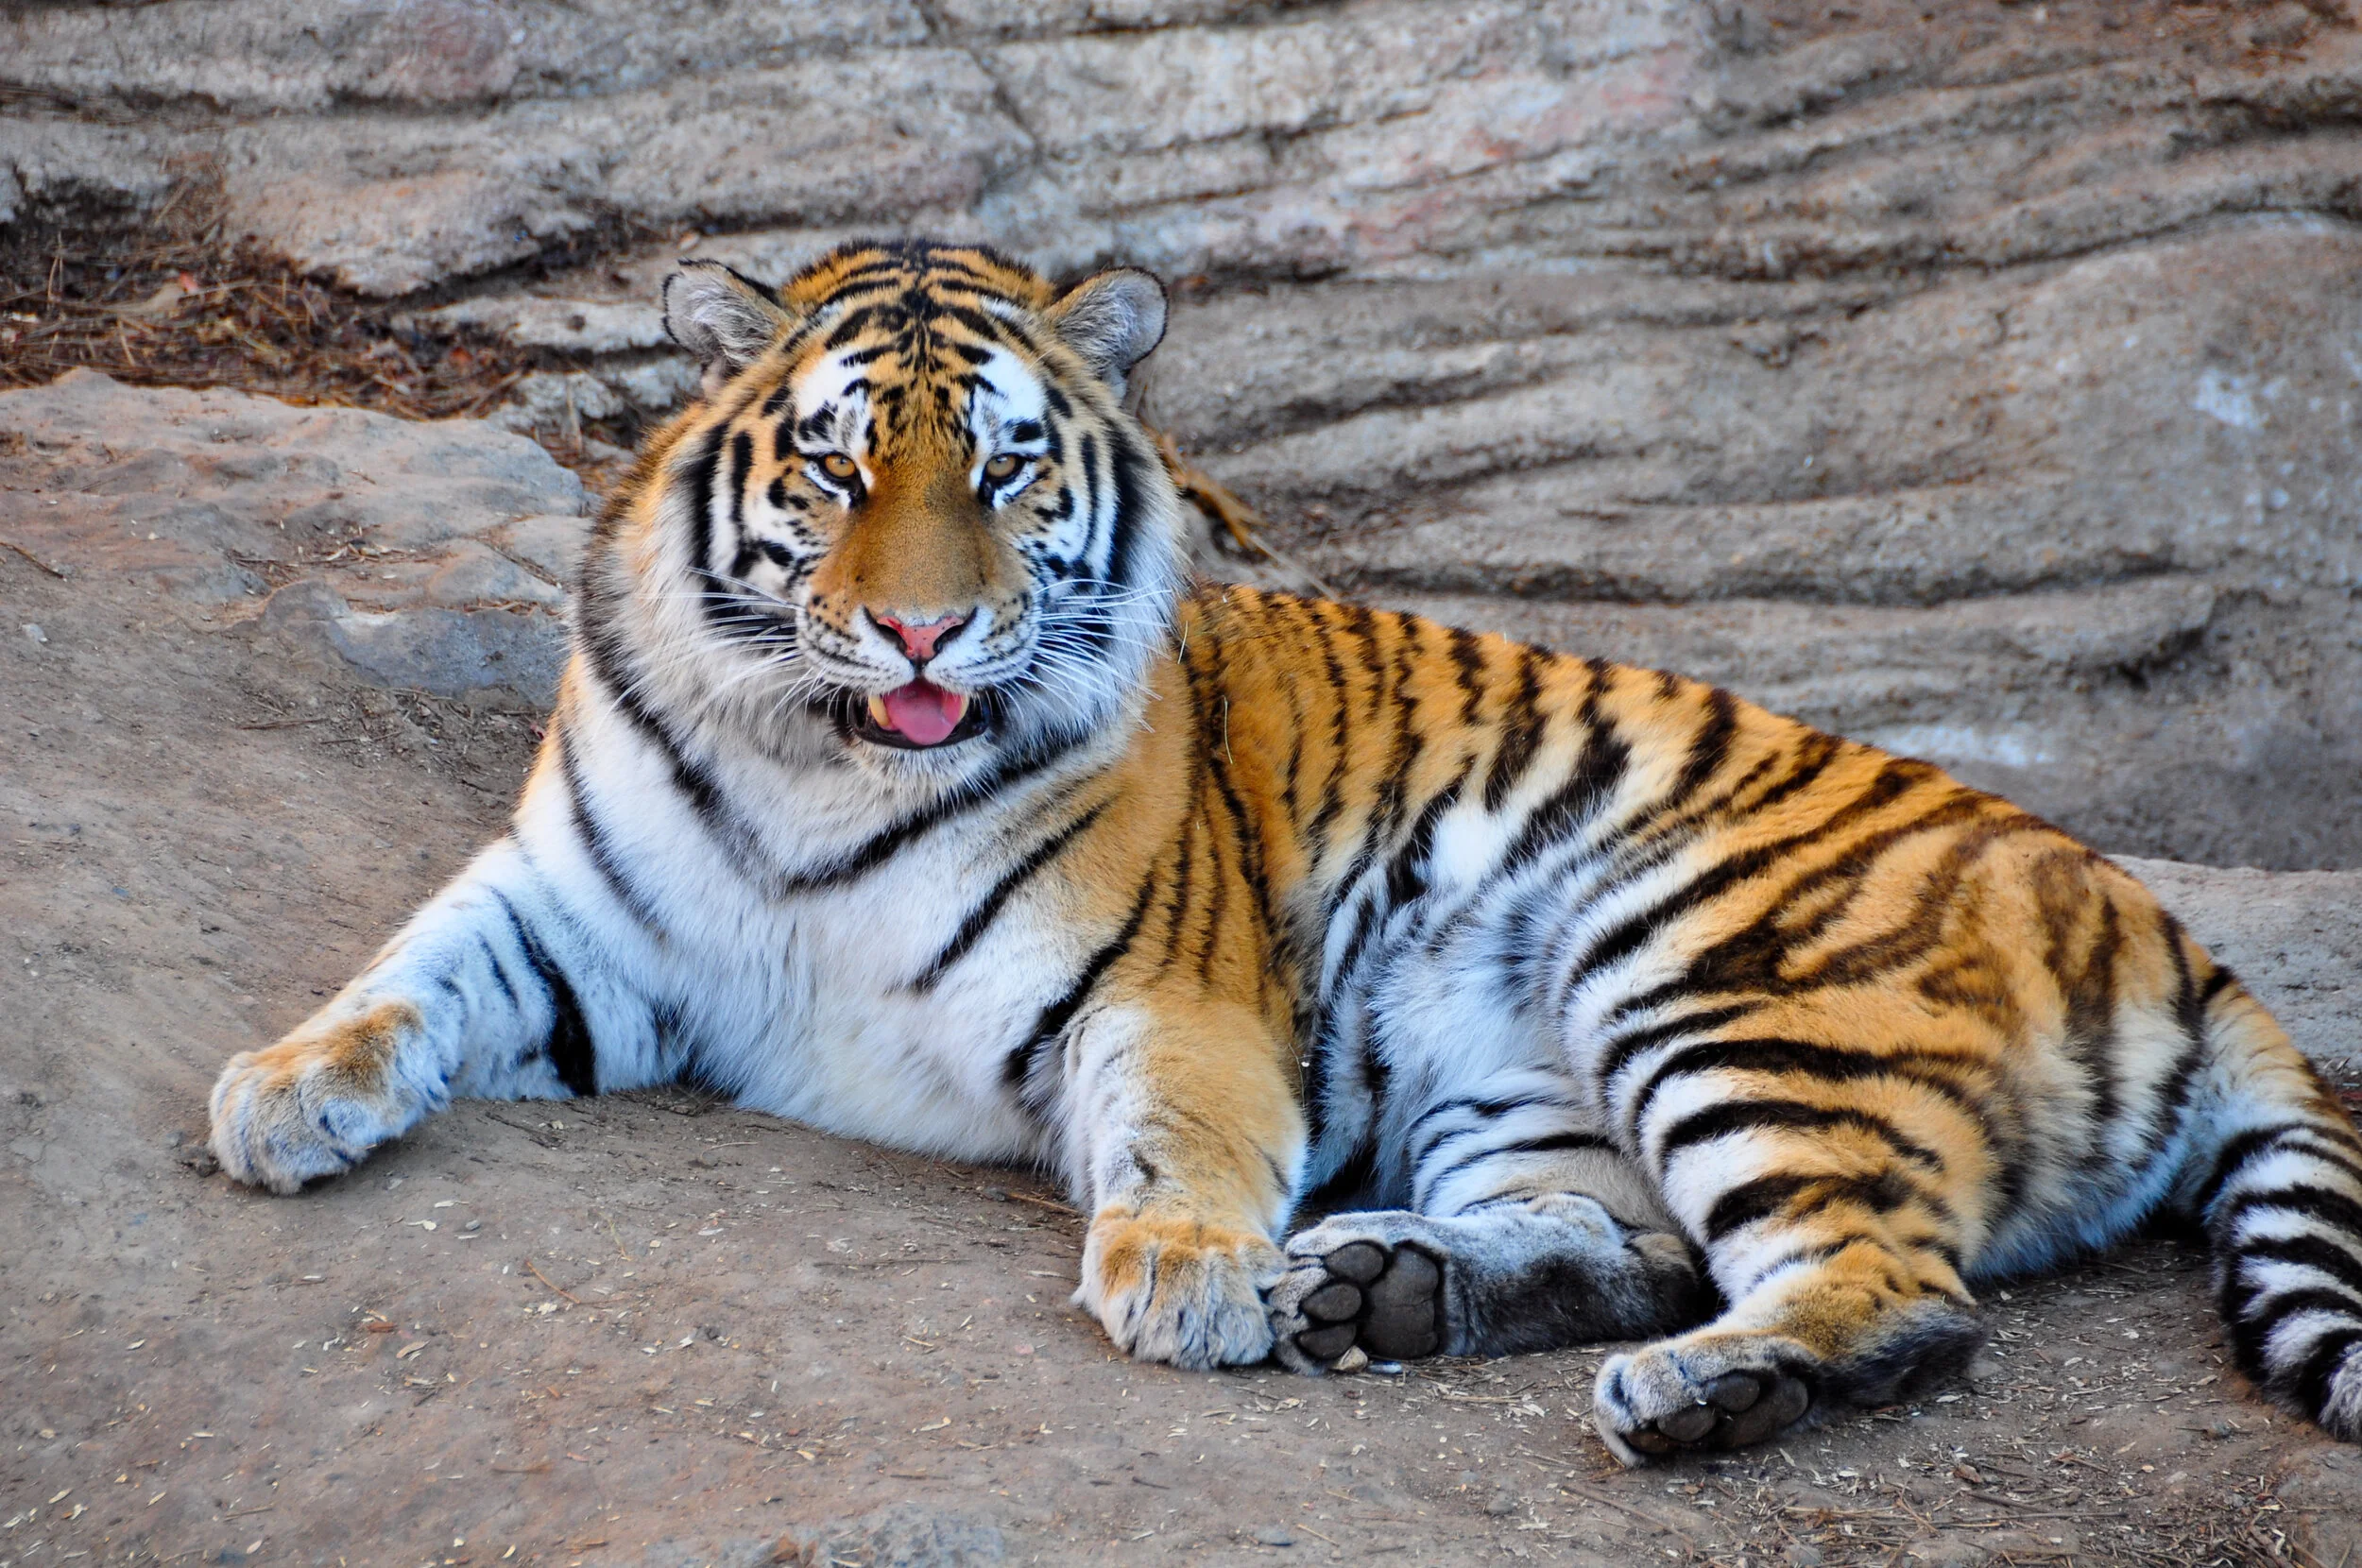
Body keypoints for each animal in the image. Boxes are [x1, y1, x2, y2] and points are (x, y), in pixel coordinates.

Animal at [206, 239, 2362, 1463]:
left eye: (1004, 466)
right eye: (832, 462)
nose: (918, 634)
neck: (827, 765)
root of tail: (2181, 932)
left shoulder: (1170, 988)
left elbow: (1180, 1136)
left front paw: (1181, 1269)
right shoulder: (575, 914)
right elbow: (404, 979)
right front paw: (280, 1093)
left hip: (1704, 960)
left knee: (1896, 1290)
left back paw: (1690, 1396)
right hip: (1523, 1079)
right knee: (1638, 1243)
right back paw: (1381, 1292)